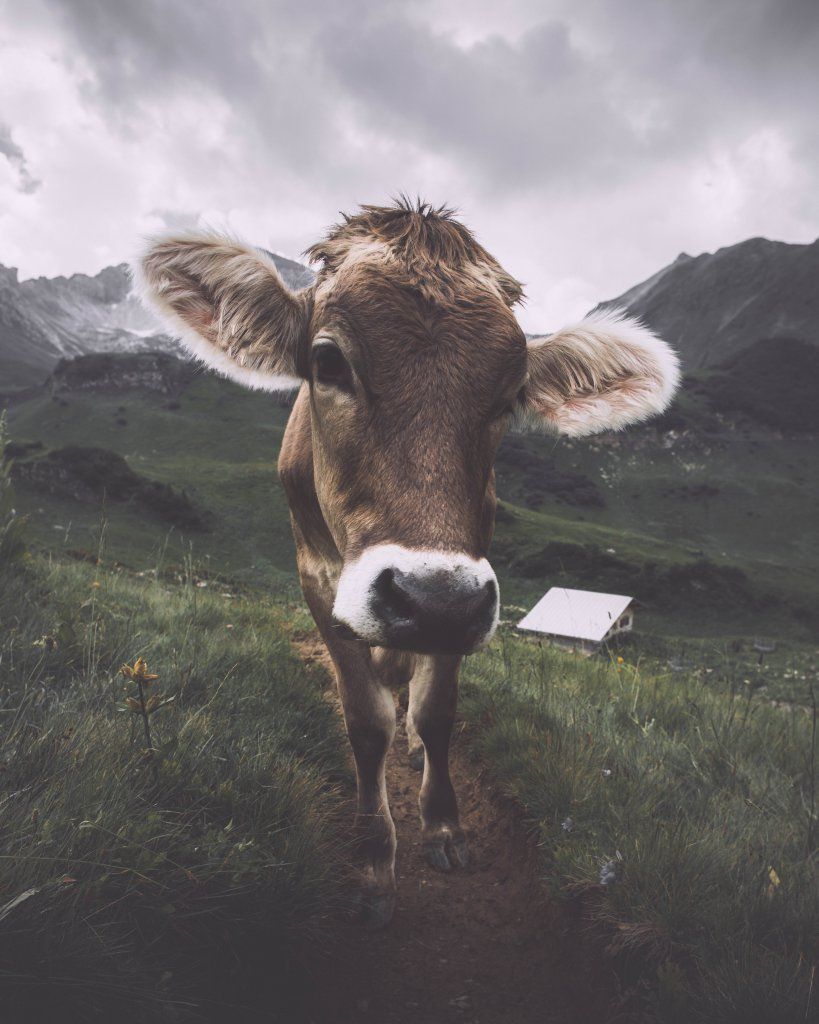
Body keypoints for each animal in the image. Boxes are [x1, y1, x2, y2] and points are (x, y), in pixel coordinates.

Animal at [136, 199, 680, 929]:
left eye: (510, 394)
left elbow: (436, 711)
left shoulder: (463, 593)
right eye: (327, 361)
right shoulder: (322, 583)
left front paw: (443, 826)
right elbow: (366, 723)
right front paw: (373, 860)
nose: (427, 598)